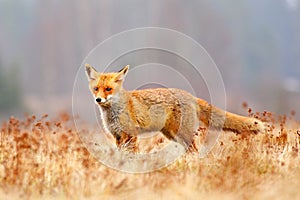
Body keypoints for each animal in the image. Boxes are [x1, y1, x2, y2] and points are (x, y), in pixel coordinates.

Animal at [84, 64, 264, 152]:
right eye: (96, 89)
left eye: (108, 89)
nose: (98, 99)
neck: (113, 112)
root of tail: (190, 95)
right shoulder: (118, 136)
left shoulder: (130, 134)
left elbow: (131, 155)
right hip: (172, 135)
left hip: (182, 134)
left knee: (195, 150)